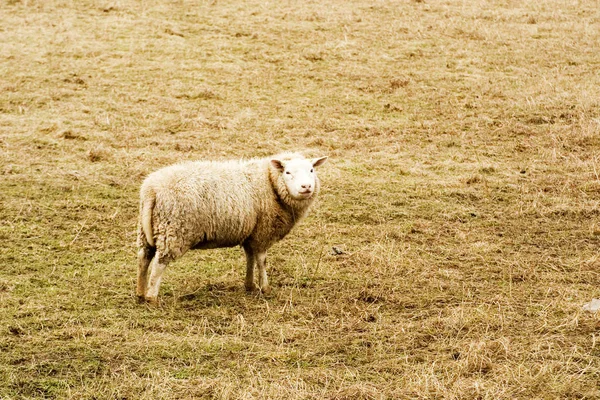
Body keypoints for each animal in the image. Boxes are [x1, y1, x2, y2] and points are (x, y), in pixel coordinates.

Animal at [136, 152, 328, 304]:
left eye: (311, 170)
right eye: (288, 172)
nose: (306, 187)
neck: (270, 183)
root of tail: (151, 189)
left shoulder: (251, 233)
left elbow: (250, 258)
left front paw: (249, 285)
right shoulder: (262, 233)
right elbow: (261, 260)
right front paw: (265, 288)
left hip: (149, 230)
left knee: (144, 258)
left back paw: (140, 293)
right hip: (174, 230)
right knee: (159, 263)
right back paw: (152, 297)